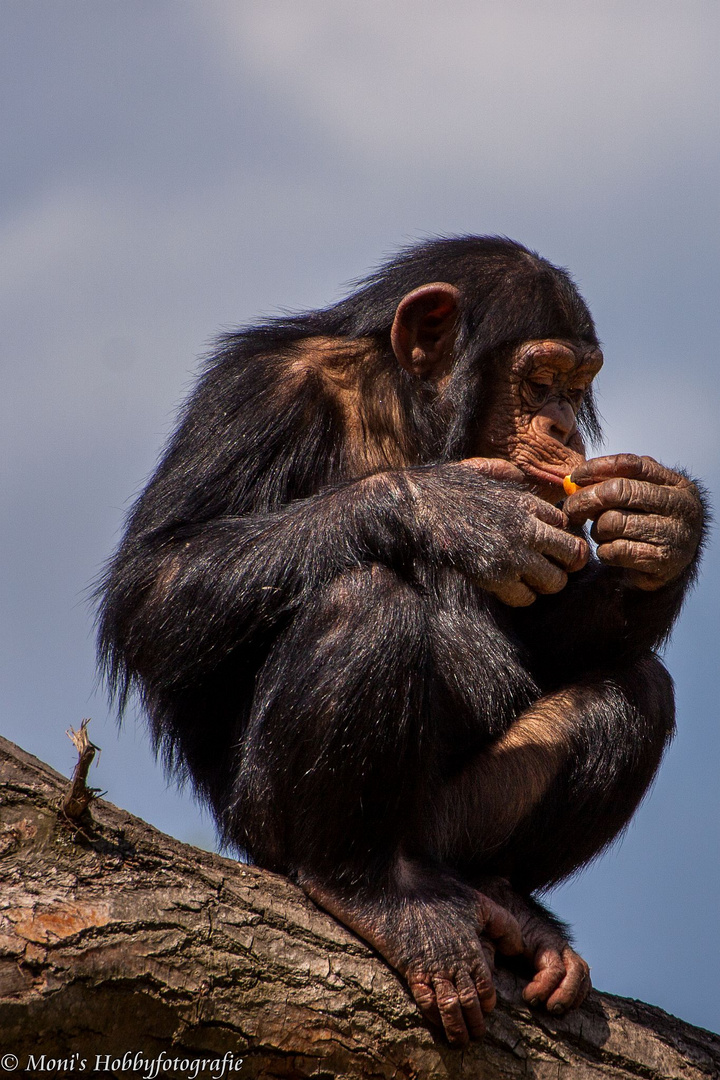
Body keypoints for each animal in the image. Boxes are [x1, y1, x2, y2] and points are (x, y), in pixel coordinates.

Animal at [97, 236, 708, 1045]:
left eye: (577, 387)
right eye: (542, 381)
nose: (564, 429)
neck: (408, 413)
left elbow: (548, 628)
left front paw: (663, 525)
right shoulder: (253, 394)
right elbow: (156, 582)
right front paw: (450, 505)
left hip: (452, 826)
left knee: (637, 686)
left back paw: (509, 903)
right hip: (266, 826)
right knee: (365, 599)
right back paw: (368, 892)